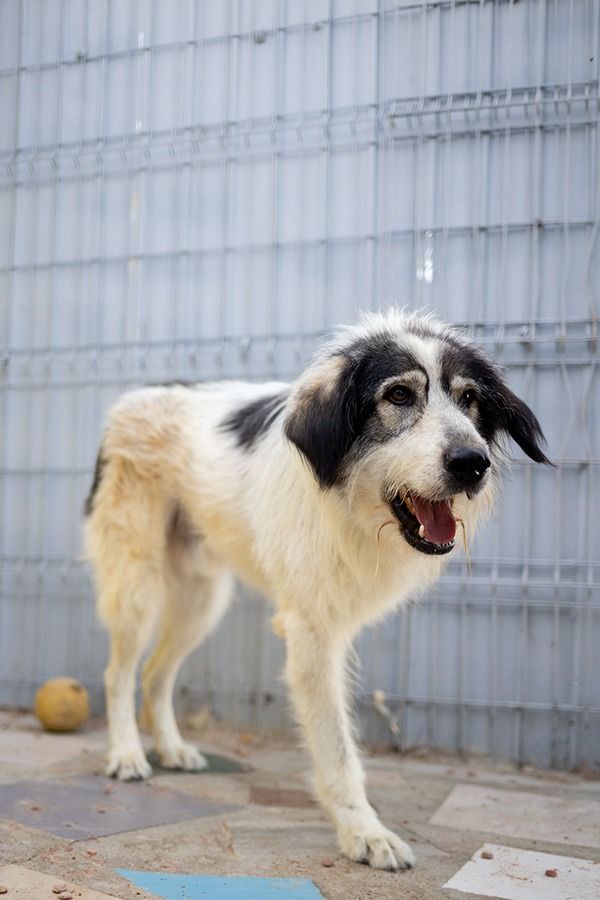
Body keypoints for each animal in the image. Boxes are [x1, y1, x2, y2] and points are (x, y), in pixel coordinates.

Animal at [84, 312, 548, 872]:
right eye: (397, 395)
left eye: (470, 398)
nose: (472, 462)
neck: (351, 504)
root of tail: (130, 401)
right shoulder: (312, 632)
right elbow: (337, 748)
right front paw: (365, 832)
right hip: (137, 582)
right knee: (118, 672)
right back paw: (127, 754)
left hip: (202, 600)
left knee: (155, 673)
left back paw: (172, 748)